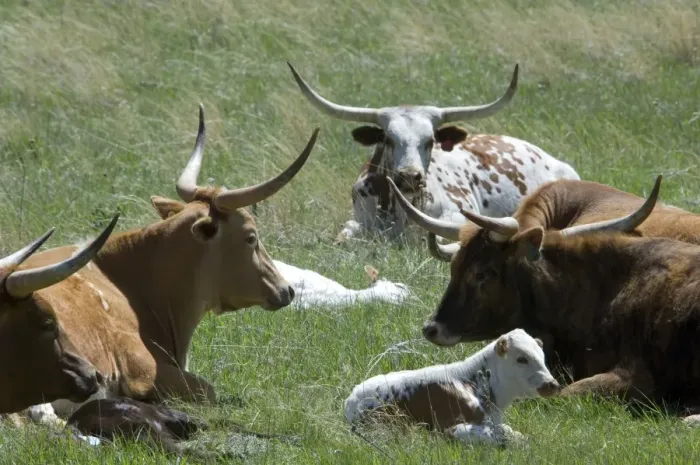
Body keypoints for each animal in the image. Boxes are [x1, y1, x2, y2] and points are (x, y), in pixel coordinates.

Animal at [286, 62, 580, 244]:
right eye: (389, 139)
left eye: (429, 141)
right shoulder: (358, 220)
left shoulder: (456, 213)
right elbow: (345, 235)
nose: (410, 176)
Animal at [345, 328, 559, 445]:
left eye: (542, 357)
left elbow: (509, 431)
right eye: (522, 359)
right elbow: (507, 435)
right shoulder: (448, 428)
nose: (552, 384)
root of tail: (351, 398)